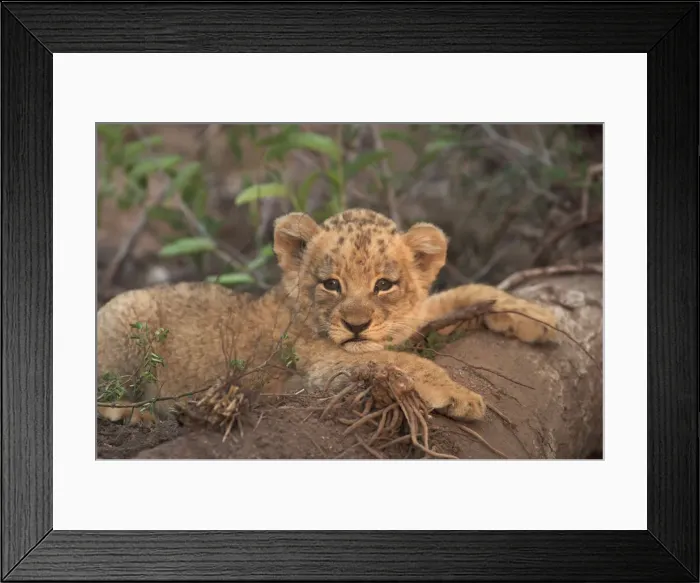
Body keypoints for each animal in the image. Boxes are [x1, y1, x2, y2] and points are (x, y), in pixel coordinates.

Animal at [97, 208, 557, 425]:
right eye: (331, 284)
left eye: (384, 284)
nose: (356, 325)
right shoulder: (318, 363)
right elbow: (401, 360)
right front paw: (461, 395)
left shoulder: (412, 319)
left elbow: (469, 292)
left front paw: (541, 317)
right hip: (127, 313)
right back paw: (136, 412)